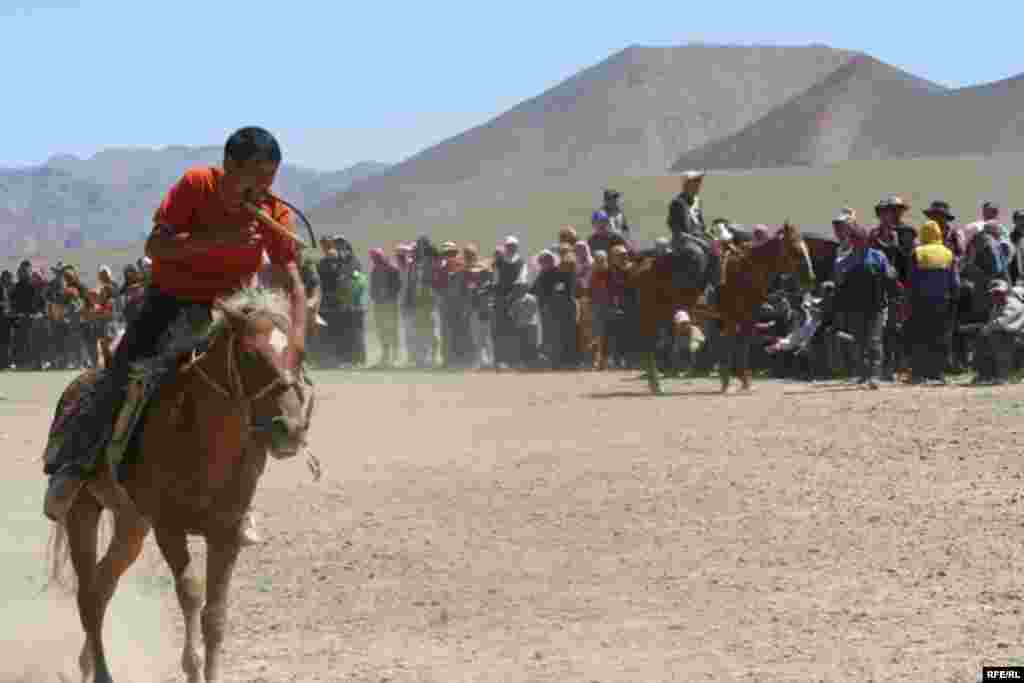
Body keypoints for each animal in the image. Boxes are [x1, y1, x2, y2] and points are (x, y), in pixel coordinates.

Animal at [45, 288, 315, 683]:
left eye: (300, 354)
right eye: (251, 354)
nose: (291, 429)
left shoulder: (226, 533)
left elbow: (215, 614)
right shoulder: (169, 527)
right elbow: (190, 592)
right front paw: (192, 665)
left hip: (131, 525)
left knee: (102, 587)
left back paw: (88, 665)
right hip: (84, 511)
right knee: (88, 595)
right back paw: (101, 672)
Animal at [626, 223, 811, 393]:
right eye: (796, 250)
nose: (811, 277)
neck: (746, 270)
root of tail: (641, 266)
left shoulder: (741, 318)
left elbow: (737, 347)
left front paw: (740, 381)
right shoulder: (735, 318)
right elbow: (732, 347)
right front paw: (730, 382)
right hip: (654, 312)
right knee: (649, 344)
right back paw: (656, 385)